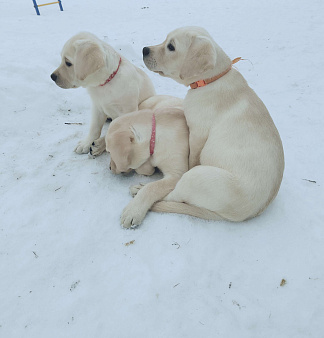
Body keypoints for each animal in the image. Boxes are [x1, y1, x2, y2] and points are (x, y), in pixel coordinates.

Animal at [143, 26, 284, 222]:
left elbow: (192, 158)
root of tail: (241, 215)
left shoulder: (197, 133)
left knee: (173, 196)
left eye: (171, 46)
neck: (211, 80)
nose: (144, 50)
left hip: (195, 177)